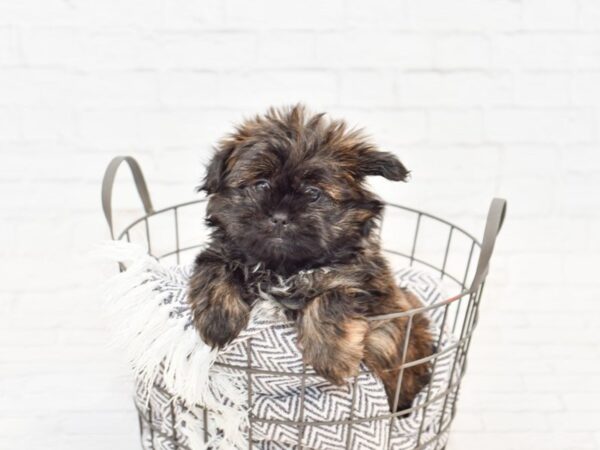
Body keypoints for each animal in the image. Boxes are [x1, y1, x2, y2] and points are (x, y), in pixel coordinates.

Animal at [188, 105, 432, 412]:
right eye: (260, 184)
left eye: (313, 193)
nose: (280, 217)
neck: (284, 269)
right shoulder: (222, 251)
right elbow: (214, 266)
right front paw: (218, 321)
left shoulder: (362, 283)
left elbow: (332, 295)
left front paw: (332, 356)